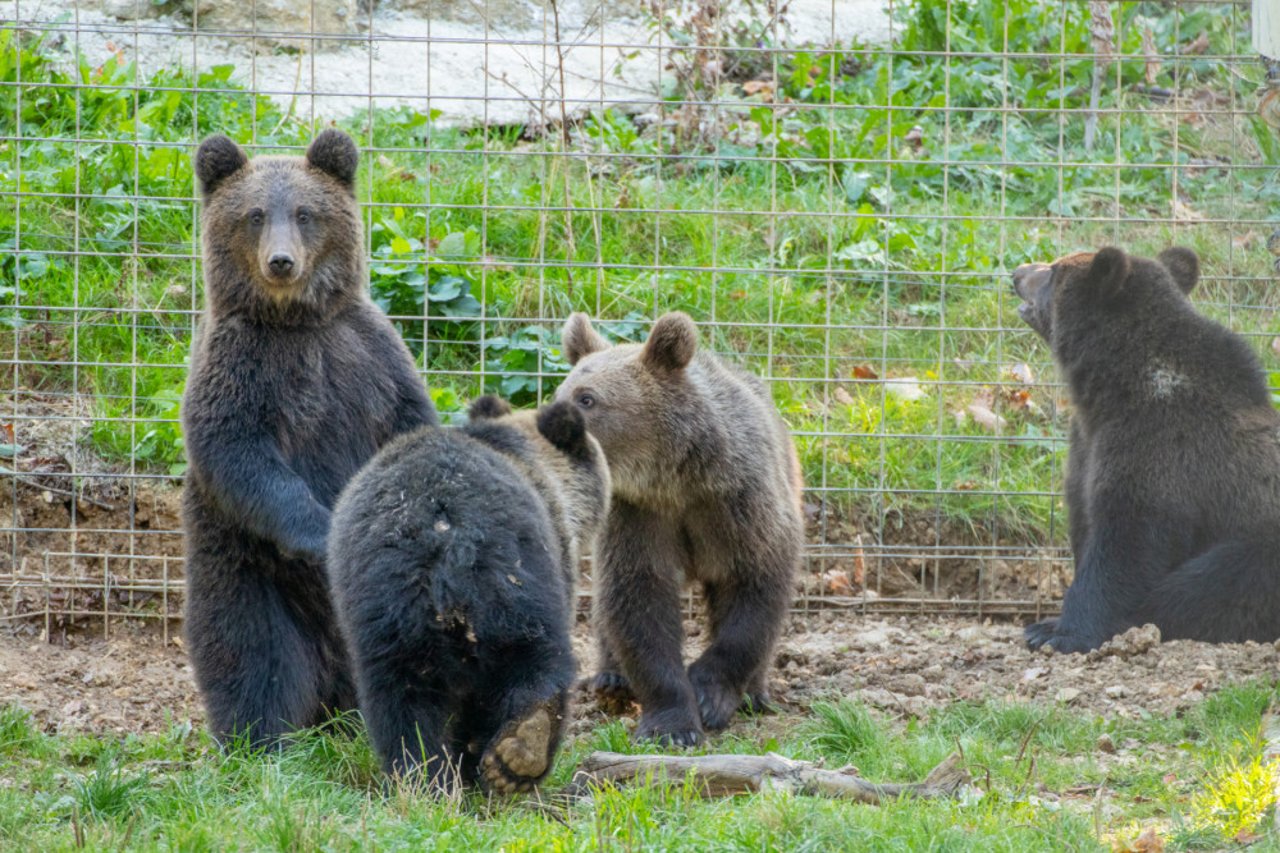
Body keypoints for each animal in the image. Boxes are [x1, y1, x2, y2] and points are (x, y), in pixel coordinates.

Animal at [177, 128, 440, 742]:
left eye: (304, 212)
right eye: (253, 214)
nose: (281, 261)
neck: (295, 320)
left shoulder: (370, 356)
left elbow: (409, 427)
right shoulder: (241, 366)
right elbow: (237, 450)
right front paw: (324, 534)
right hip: (242, 565)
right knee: (253, 653)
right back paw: (260, 737)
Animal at [327, 394, 611, 788]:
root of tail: (446, 532)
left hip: (386, 607)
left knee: (401, 697)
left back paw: (427, 775)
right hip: (518, 576)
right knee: (536, 658)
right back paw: (520, 749)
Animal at [558, 308, 798, 742]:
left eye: (587, 398)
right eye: (558, 392)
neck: (676, 478)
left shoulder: (740, 503)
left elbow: (755, 588)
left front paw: (708, 693)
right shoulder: (638, 515)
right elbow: (639, 599)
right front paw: (671, 725)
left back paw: (755, 693)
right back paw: (611, 679)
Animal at [1013, 245, 1280, 650]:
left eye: (1053, 272)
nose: (1017, 272)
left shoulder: (1160, 450)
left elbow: (1126, 545)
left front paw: (1063, 633)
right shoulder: (1088, 447)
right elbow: (1084, 518)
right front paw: (1046, 625)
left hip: (1263, 545)